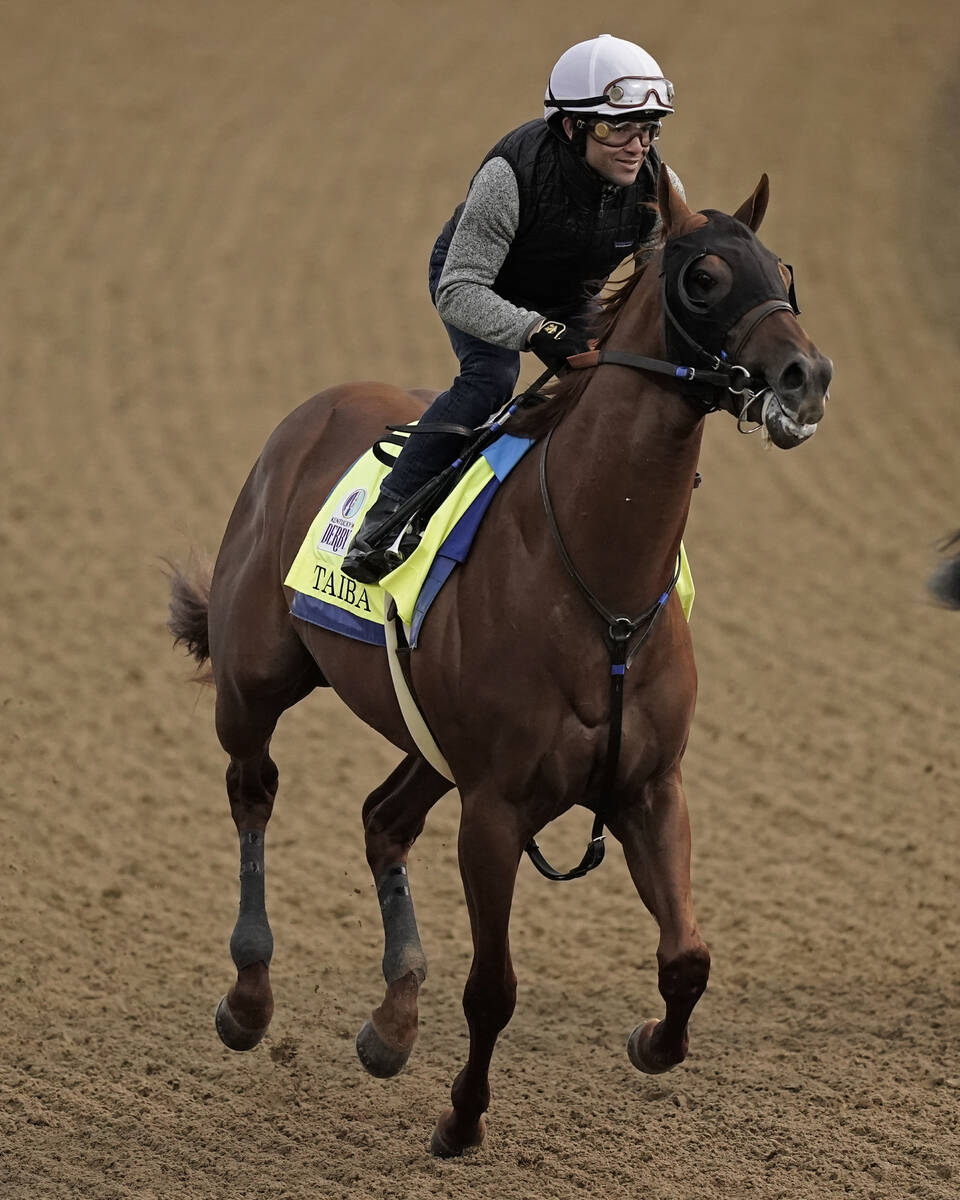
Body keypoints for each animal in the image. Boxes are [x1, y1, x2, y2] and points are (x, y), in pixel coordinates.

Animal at [165, 169, 830, 1152]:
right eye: (704, 278)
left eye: (781, 270)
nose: (806, 377)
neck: (600, 584)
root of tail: (312, 411)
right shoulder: (495, 810)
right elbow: (494, 990)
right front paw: (461, 1119)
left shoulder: (648, 787)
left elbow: (688, 960)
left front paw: (650, 1043)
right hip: (255, 682)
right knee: (253, 792)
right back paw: (250, 999)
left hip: (430, 742)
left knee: (383, 819)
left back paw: (393, 1022)